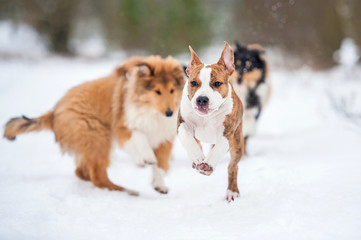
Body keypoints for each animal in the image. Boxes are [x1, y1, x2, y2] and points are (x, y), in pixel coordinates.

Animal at [2, 55, 183, 196]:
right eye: (157, 91)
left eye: (172, 90)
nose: (169, 113)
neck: (152, 111)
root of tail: (53, 112)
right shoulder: (123, 127)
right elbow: (140, 137)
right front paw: (146, 158)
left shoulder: (164, 139)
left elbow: (160, 166)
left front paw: (159, 185)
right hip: (97, 136)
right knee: (98, 176)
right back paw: (126, 191)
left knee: (82, 172)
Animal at [176, 42, 243, 202]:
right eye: (193, 83)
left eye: (217, 83)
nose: (202, 99)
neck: (206, 117)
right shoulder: (182, 124)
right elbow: (188, 139)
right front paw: (197, 157)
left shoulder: (227, 134)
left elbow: (218, 149)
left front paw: (207, 165)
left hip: (237, 144)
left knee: (233, 166)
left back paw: (232, 191)